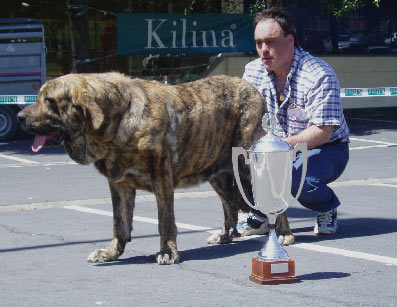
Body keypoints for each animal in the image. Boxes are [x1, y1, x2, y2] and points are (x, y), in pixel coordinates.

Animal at [17, 73, 292, 264]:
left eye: (50, 101)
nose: (19, 117)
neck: (117, 123)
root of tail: (255, 91)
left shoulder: (162, 180)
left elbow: (164, 221)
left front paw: (167, 252)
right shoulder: (119, 185)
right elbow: (119, 223)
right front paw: (111, 252)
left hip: (250, 165)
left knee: (272, 202)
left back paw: (284, 233)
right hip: (219, 175)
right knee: (230, 206)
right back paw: (224, 235)